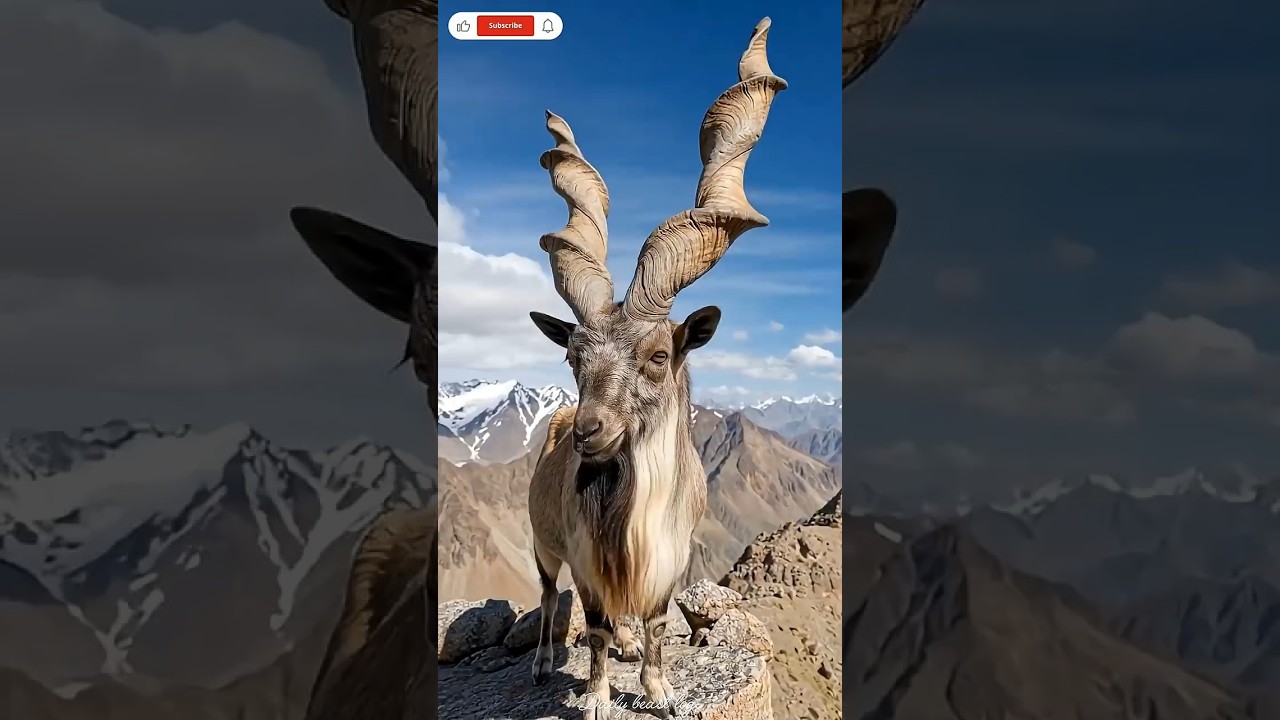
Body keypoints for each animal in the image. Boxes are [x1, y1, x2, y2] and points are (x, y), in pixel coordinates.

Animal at [524, 18, 787, 719]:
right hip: (542, 544)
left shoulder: (673, 561)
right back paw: (543, 661)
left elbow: (660, 622)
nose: (587, 432)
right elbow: (589, 624)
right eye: (573, 355)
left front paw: (659, 687)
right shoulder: (585, 559)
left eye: (659, 356)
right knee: (545, 597)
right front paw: (594, 697)